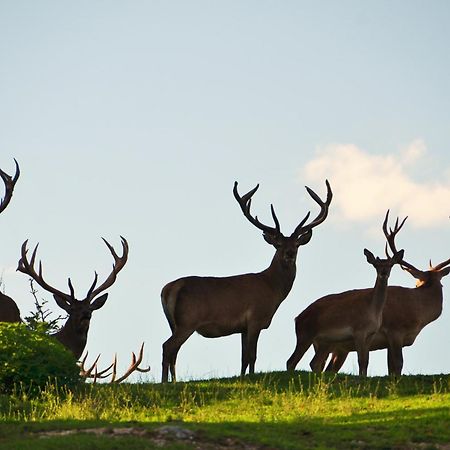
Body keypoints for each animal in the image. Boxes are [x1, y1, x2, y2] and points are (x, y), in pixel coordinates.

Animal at [160, 181, 332, 382]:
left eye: (296, 245)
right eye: (278, 245)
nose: (289, 254)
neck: (272, 288)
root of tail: (169, 289)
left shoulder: (243, 327)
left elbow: (243, 357)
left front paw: (242, 377)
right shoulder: (255, 318)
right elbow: (252, 355)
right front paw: (252, 377)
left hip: (175, 323)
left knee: (173, 351)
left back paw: (172, 381)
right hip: (188, 320)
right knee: (168, 347)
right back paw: (165, 382)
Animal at [286, 211, 406, 376]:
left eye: (391, 265)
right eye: (375, 265)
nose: (383, 273)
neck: (373, 311)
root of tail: (297, 319)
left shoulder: (370, 334)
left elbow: (366, 361)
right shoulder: (358, 331)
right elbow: (362, 361)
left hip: (324, 342)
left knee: (314, 362)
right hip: (305, 335)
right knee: (291, 361)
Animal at [322, 214, 448, 376]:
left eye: (417, 283)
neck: (417, 314)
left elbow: (391, 368)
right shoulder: (395, 331)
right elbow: (398, 364)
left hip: (341, 348)